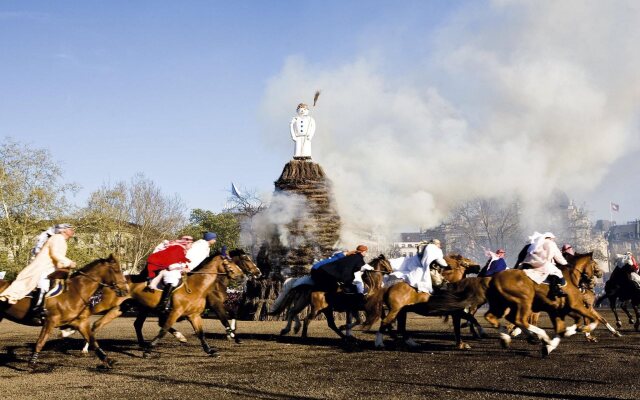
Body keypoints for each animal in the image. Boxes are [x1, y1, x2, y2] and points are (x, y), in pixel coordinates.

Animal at [484, 253, 620, 356]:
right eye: (595, 264)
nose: (600, 274)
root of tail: (495, 279)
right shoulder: (579, 306)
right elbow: (595, 319)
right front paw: (586, 332)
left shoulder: (562, 310)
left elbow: (569, 325)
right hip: (525, 303)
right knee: (520, 319)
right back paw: (532, 335)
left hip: (507, 305)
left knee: (500, 317)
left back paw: (513, 336)